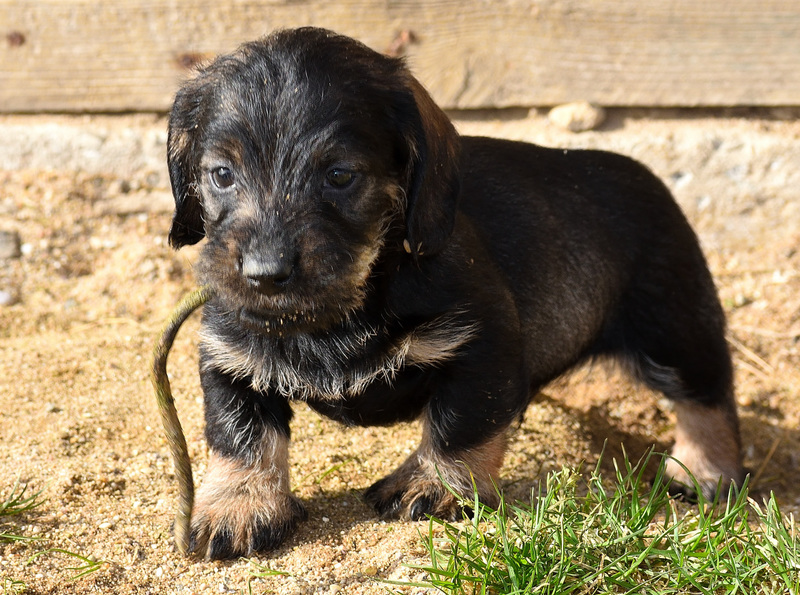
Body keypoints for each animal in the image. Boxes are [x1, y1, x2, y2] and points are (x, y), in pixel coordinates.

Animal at [166, 27, 743, 560]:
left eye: (340, 175)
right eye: (221, 174)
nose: (265, 274)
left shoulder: (482, 344)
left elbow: (460, 423)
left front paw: (434, 484)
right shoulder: (228, 355)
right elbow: (240, 434)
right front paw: (237, 506)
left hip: (674, 332)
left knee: (709, 398)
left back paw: (703, 471)